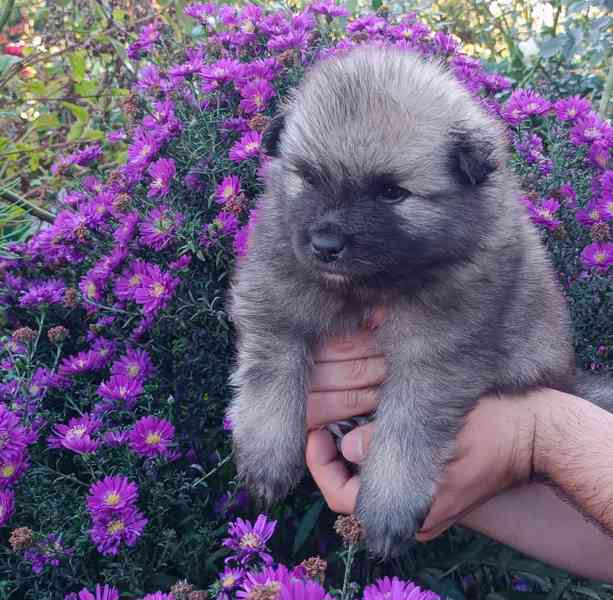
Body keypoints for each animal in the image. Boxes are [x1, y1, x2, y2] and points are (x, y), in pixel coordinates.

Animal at [228, 45, 608, 556]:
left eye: (392, 192)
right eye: (308, 178)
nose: (325, 245)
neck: (370, 286)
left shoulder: (438, 354)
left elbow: (406, 428)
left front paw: (388, 504)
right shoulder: (273, 298)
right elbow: (272, 377)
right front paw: (266, 456)